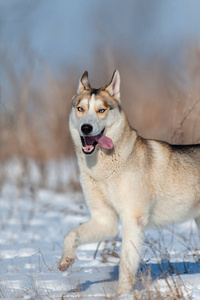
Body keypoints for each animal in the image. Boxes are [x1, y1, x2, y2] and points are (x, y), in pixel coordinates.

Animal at [58, 70, 200, 296]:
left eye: (101, 110)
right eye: (80, 109)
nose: (86, 128)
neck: (103, 171)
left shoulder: (133, 219)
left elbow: (126, 263)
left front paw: (122, 294)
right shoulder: (104, 219)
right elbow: (70, 234)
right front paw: (66, 259)